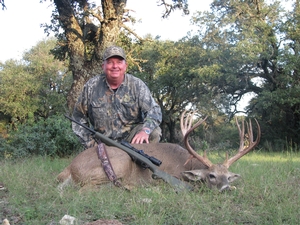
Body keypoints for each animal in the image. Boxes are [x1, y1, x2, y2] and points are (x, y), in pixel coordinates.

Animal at [58, 111, 260, 192]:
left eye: (228, 176)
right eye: (211, 175)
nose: (225, 188)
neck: (186, 164)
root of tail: (69, 168)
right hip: (121, 160)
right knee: (86, 189)